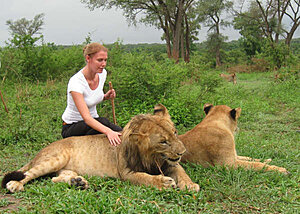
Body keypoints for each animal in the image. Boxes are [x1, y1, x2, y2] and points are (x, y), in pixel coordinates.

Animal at [2, 104, 200, 193]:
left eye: (175, 132)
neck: (153, 157)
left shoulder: (171, 163)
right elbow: (144, 178)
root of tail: (40, 151)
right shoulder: (126, 172)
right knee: (28, 173)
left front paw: (190, 184)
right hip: (55, 158)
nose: (182, 152)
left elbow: (182, 172)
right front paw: (164, 182)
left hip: (65, 168)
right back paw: (15, 184)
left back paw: (78, 182)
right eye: (163, 142)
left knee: (55, 179)